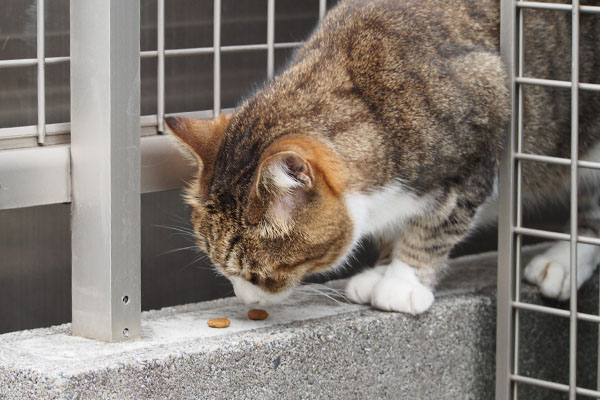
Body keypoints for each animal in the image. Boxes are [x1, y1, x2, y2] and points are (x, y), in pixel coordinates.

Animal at [165, 0, 600, 312]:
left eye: (258, 274)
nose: (242, 299)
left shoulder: (484, 124)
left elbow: (435, 225)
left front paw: (402, 282)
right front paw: (384, 268)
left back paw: (563, 261)